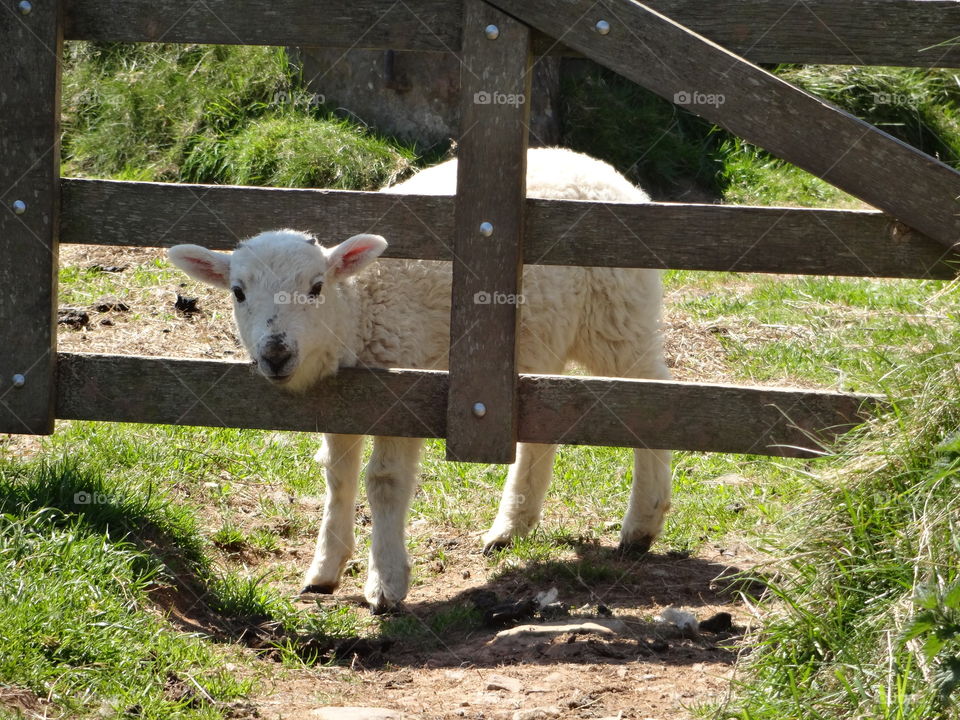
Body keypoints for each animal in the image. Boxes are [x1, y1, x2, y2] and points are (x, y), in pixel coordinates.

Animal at [167, 147, 671, 613]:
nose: (275, 353)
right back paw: (511, 528)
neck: (358, 313)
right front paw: (324, 571)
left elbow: (385, 482)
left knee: (650, 399)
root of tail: (592, 164)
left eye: (316, 287)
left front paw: (386, 583)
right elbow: (338, 477)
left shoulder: (402, 389)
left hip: (618, 316)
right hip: (539, 338)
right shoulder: (344, 398)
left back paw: (642, 523)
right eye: (238, 293)